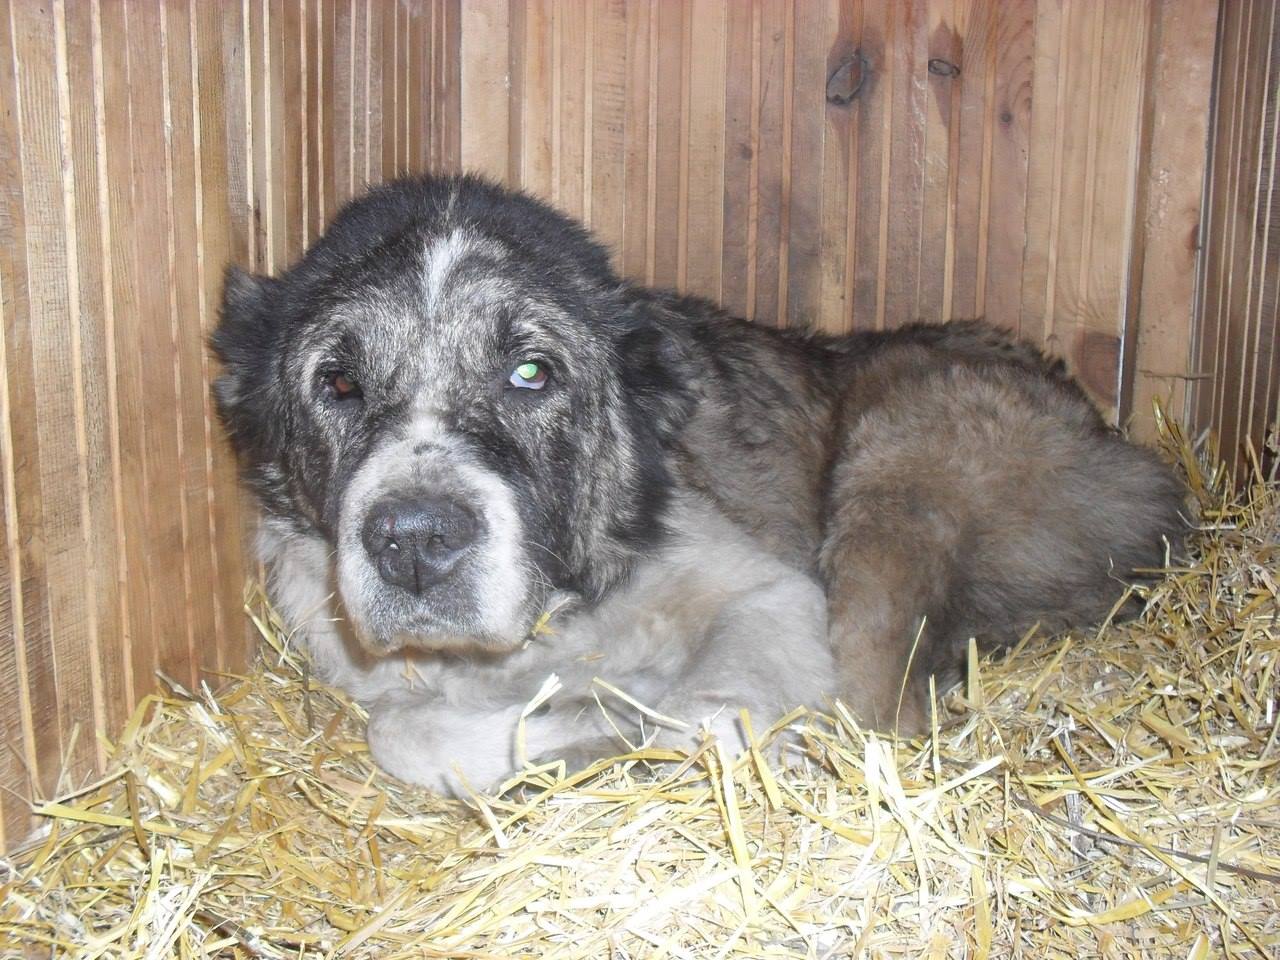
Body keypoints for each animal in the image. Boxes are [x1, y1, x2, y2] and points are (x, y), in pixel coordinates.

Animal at [213, 174, 1185, 794]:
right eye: (339, 384)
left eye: (531, 374)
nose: (414, 541)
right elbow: (405, 733)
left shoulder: (773, 595)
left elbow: (702, 720)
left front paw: (612, 716)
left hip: (899, 461)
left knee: (881, 707)